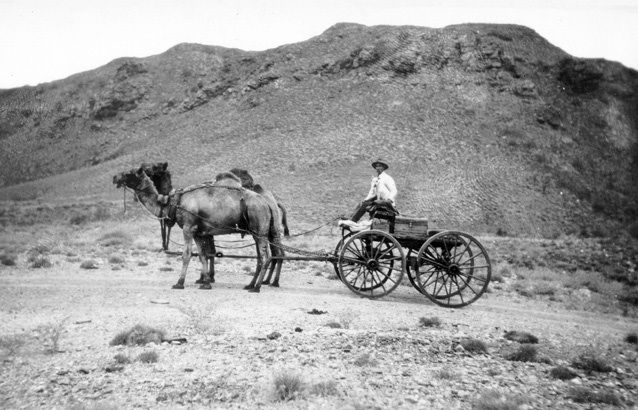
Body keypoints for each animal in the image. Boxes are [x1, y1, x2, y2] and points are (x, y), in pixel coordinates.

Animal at [113, 165, 282, 290]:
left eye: (129, 172)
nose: (115, 177)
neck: (173, 202)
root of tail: (267, 203)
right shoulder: (198, 232)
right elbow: (203, 255)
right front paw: (206, 283)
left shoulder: (188, 227)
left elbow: (186, 255)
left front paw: (179, 283)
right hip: (256, 231)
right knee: (262, 257)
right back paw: (251, 284)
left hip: (260, 229)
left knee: (267, 256)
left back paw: (258, 286)